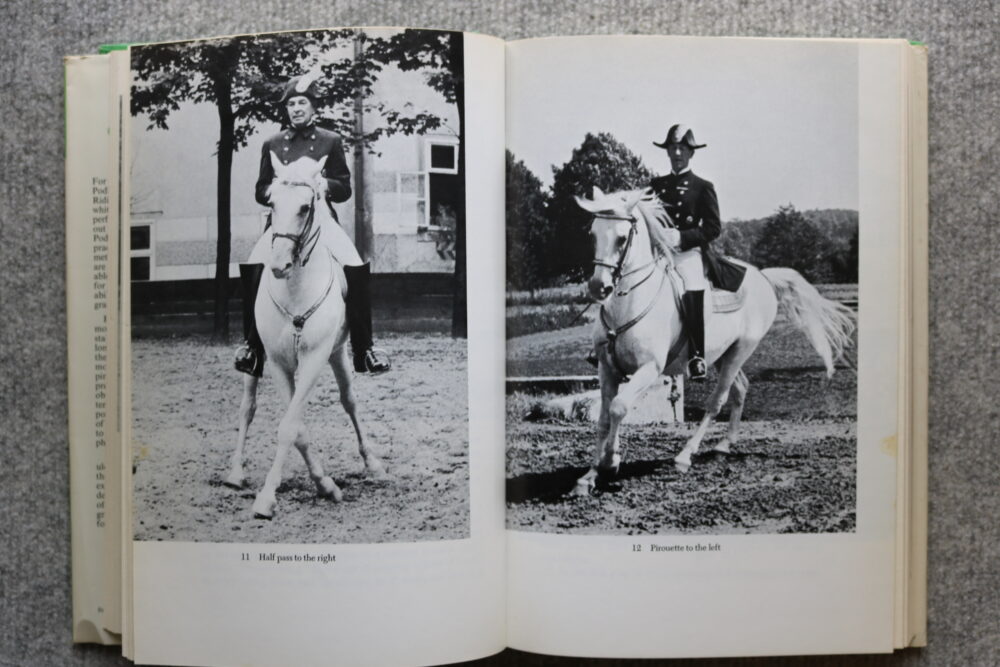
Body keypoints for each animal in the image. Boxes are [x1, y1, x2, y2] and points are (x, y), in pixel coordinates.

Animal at [225, 153, 385, 518]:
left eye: (305, 206)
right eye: (271, 202)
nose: (278, 265)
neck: (295, 289)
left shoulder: (315, 357)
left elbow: (291, 426)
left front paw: (314, 486)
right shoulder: (278, 362)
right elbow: (294, 427)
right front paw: (316, 484)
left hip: (338, 353)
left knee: (349, 401)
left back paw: (372, 463)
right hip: (258, 361)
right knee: (246, 407)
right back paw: (236, 472)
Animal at [572, 186, 855, 496]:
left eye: (622, 238)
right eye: (593, 235)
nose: (598, 287)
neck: (629, 303)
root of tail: (763, 277)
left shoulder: (650, 369)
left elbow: (618, 407)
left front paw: (611, 462)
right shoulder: (607, 369)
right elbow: (603, 417)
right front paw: (590, 474)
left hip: (740, 351)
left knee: (716, 402)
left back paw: (685, 456)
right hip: (721, 355)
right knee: (741, 388)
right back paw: (723, 446)